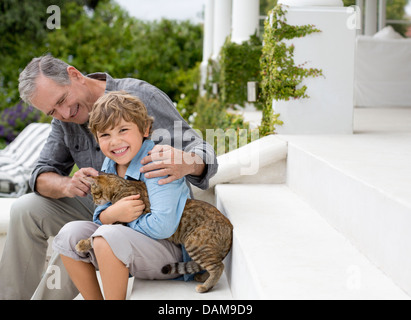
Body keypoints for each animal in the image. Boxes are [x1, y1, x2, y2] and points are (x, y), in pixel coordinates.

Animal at [75, 172, 233, 292]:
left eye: (93, 192)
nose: (94, 201)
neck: (121, 187)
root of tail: (230, 225)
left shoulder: (125, 220)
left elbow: (96, 234)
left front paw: (82, 244)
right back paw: (202, 278)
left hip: (196, 245)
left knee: (218, 267)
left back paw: (205, 287)